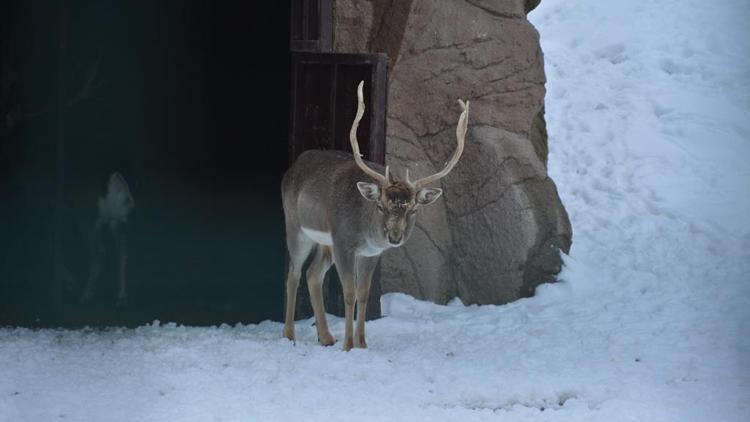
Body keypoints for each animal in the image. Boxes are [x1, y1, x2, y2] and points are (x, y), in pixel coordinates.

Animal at [282, 81, 470, 352]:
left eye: (413, 209)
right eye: (380, 206)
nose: (394, 237)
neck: (365, 232)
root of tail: (293, 166)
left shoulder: (371, 253)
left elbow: (364, 293)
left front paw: (362, 343)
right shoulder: (344, 242)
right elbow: (349, 292)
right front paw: (348, 345)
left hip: (325, 242)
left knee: (313, 274)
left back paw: (326, 337)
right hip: (295, 226)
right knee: (293, 274)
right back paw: (289, 335)